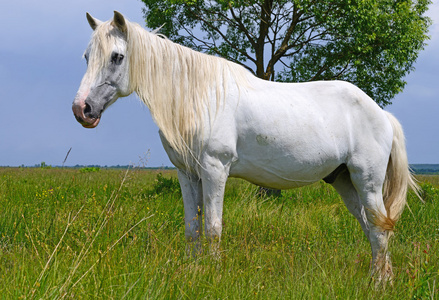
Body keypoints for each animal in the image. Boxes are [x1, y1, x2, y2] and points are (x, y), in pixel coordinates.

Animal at [74, 11, 422, 278]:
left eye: (117, 57)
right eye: (87, 57)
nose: (82, 109)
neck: (200, 97)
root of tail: (381, 114)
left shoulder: (215, 170)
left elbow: (213, 228)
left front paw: (211, 276)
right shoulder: (187, 174)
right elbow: (192, 228)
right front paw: (193, 272)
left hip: (367, 181)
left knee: (379, 229)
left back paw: (378, 283)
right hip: (344, 181)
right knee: (372, 230)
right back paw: (380, 278)